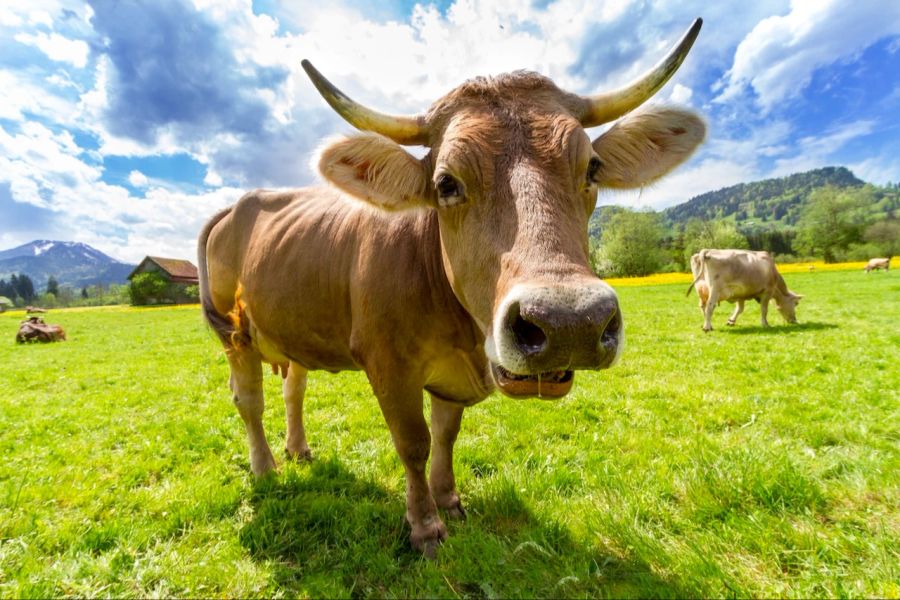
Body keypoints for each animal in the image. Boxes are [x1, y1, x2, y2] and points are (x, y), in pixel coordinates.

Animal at [200, 18, 708, 556]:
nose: (570, 322)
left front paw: (448, 500)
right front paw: (425, 525)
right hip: (234, 334)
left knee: (293, 388)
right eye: (446, 183)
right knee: (249, 400)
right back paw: (265, 467)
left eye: (591, 167)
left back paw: (298, 449)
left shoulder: (450, 377)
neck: (461, 332)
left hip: (291, 327)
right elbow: (414, 442)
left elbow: (446, 435)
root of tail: (240, 203)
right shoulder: (387, 363)